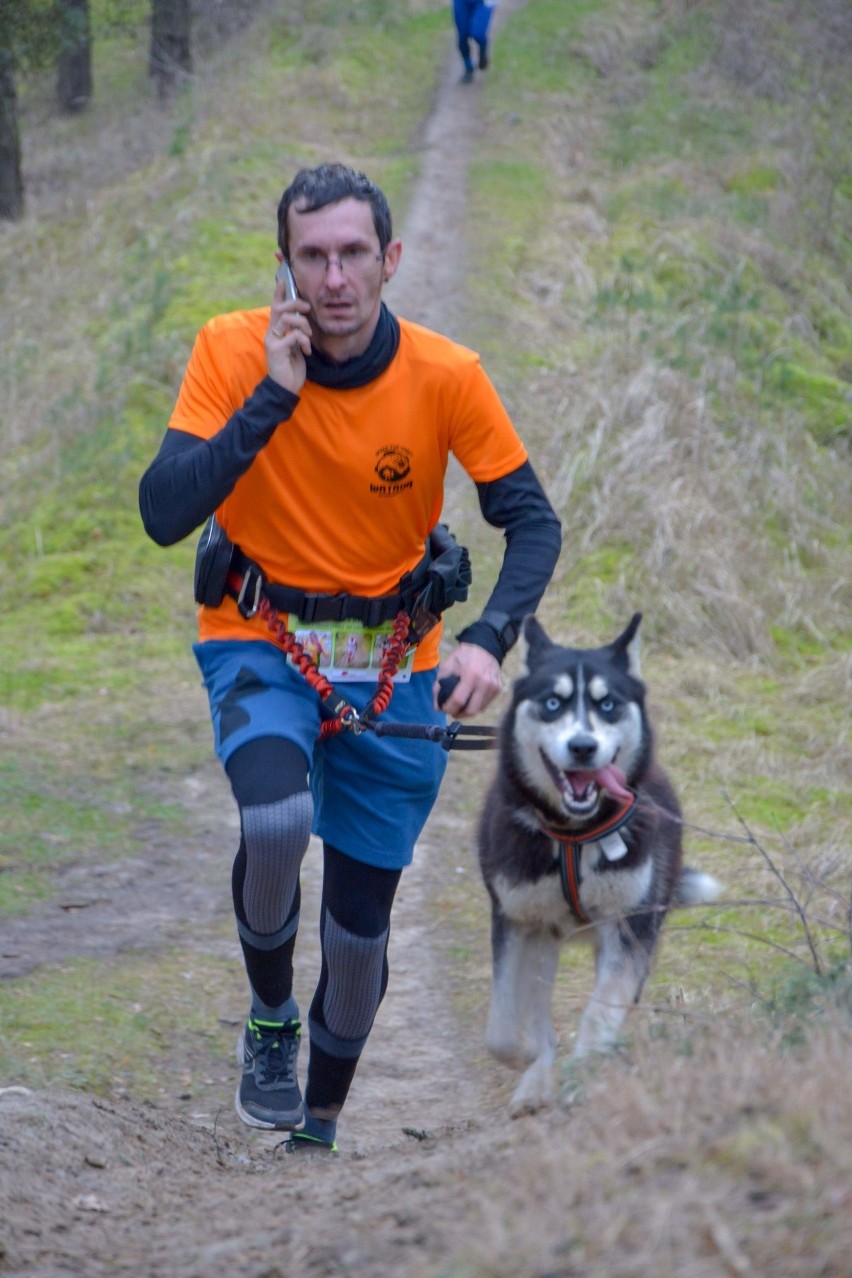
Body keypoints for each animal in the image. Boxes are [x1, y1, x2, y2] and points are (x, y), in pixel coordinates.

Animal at [480, 613, 720, 1114]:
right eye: (553, 703)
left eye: (607, 704)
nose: (583, 747)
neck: (575, 837)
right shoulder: (517, 919)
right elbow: (505, 1030)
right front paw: (533, 1059)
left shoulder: (629, 926)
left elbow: (600, 1012)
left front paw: (584, 1071)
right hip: (544, 937)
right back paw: (536, 1079)